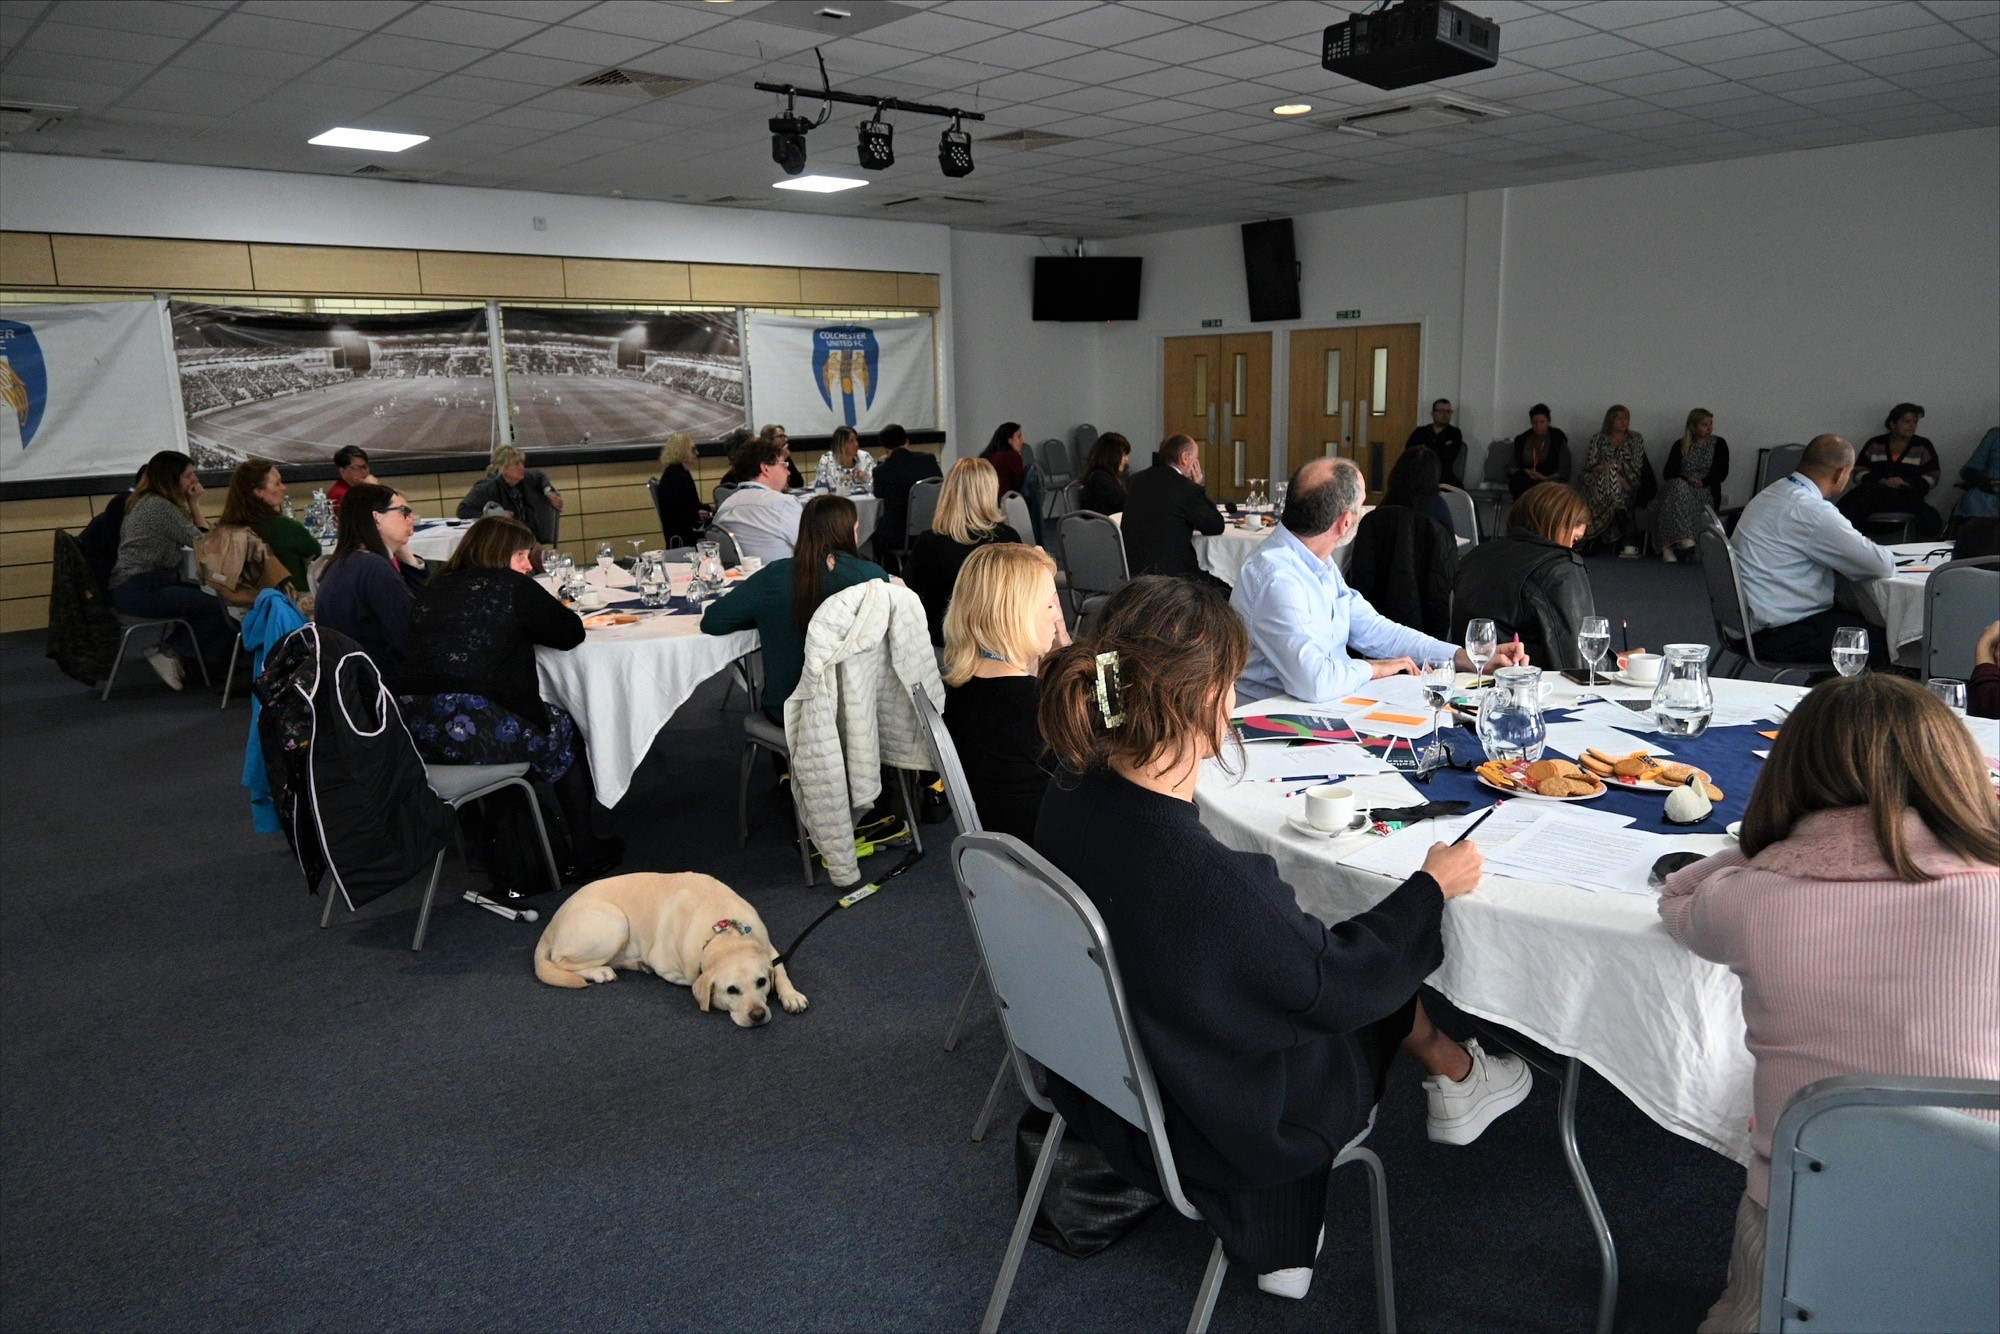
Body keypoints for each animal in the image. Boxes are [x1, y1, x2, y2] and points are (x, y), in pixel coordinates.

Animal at [540, 872, 812, 1032]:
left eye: (761, 982)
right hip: (615, 923)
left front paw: (791, 995)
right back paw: (600, 972)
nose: (757, 1014)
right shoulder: (674, 969)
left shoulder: (770, 948)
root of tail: (551, 923)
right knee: (561, 963)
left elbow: (780, 970)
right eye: (731, 990)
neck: (724, 934)